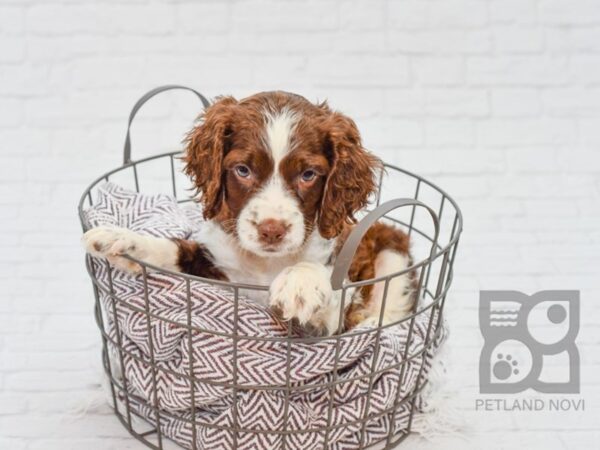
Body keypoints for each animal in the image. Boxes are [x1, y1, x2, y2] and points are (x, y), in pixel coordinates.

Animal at [82, 91, 414, 336]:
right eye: (243, 170)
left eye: (308, 174)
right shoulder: (216, 270)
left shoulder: (328, 325)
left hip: (392, 249)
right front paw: (121, 240)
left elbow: (327, 285)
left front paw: (301, 282)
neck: (264, 264)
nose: (272, 230)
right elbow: (172, 251)